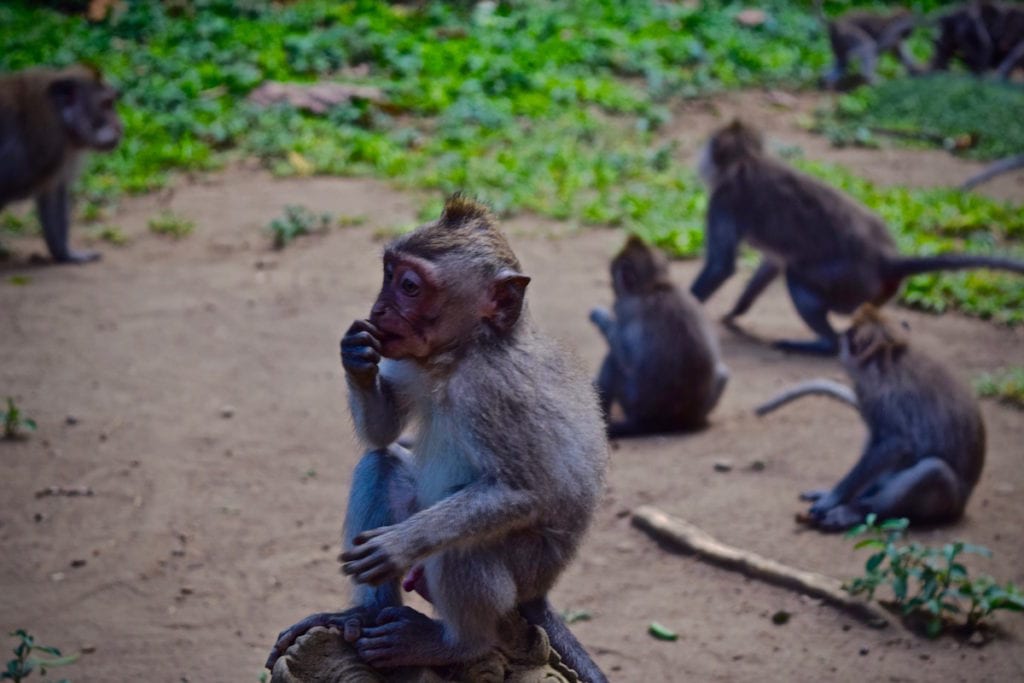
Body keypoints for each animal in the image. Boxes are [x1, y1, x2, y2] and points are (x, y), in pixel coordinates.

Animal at [0, 63, 122, 264]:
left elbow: (53, 193)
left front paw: (65, 254)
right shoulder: (46, 145)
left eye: (111, 103)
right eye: (105, 105)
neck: (62, 119)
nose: (121, 127)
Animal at [593, 236, 729, 438]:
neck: (656, 285)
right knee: (723, 373)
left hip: (631, 403)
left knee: (613, 361)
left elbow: (624, 357)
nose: (612, 285)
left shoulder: (624, 306)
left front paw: (600, 317)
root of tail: (659, 424)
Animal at [692, 121, 1024, 358]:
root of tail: (886, 259)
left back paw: (826, 345)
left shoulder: (722, 200)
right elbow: (771, 264)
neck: (747, 162)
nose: (701, 160)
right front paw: (737, 311)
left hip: (848, 282)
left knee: (798, 278)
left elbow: (722, 267)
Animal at [757, 305, 987, 532]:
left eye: (849, 334)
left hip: (947, 504)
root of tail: (962, 506)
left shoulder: (879, 395)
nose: (841, 337)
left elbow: (896, 443)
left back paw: (856, 511)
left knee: (932, 470)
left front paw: (834, 498)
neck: (890, 356)